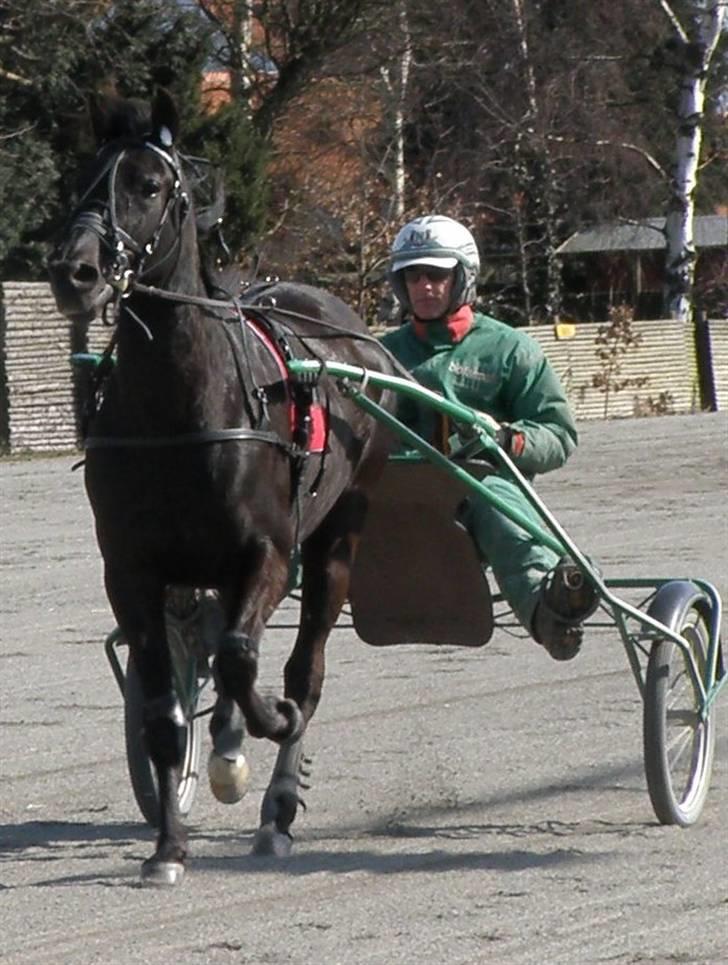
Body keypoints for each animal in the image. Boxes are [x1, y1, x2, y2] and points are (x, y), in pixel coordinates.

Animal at [49, 92, 398, 888]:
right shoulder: (133, 571)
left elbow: (245, 659)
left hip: (338, 537)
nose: (74, 270)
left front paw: (264, 731)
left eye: (148, 185)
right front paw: (168, 848)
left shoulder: (265, 551)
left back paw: (275, 800)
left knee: (304, 667)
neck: (180, 408)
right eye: (82, 180)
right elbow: (162, 708)